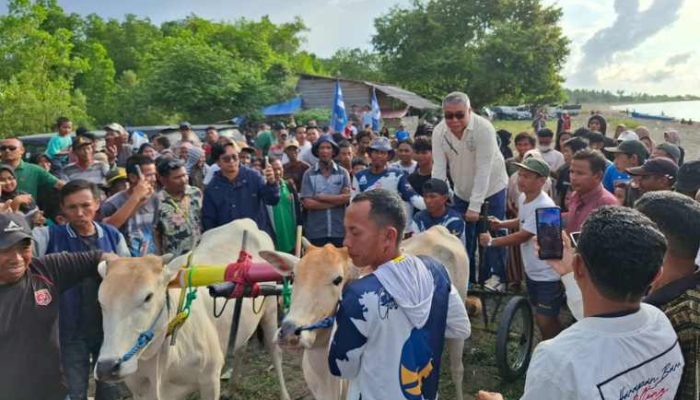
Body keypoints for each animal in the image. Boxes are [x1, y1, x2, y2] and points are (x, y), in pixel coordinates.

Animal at [95, 219, 290, 400]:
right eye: (101, 302)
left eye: (148, 297)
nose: (107, 367)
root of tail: (246, 222)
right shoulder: (140, 392)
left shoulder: (210, 379)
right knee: (241, 347)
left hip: (270, 310)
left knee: (275, 351)